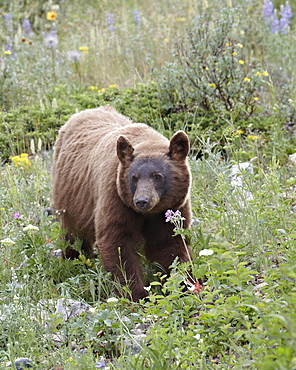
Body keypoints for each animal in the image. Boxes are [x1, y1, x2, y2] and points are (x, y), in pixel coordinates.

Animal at [51, 105, 192, 302]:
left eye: (158, 176)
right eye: (134, 177)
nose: (142, 201)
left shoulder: (171, 208)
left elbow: (169, 243)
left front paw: (186, 284)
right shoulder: (116, 196)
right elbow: (117, 243)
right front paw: (137, 294)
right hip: (71, 196)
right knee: (74, 235)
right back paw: (75, 261)